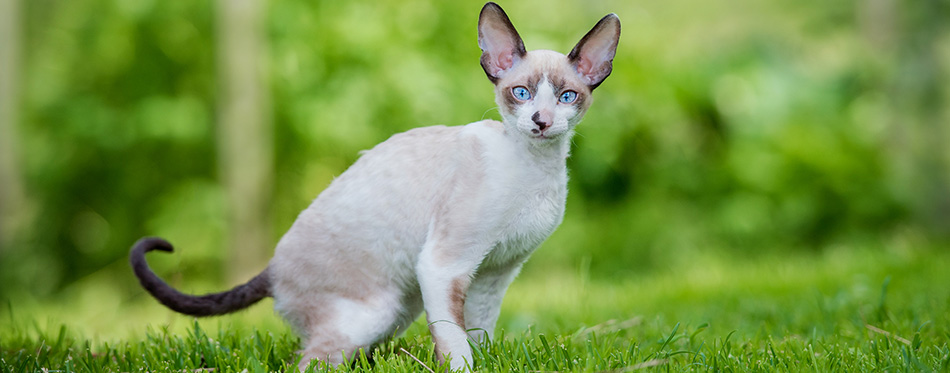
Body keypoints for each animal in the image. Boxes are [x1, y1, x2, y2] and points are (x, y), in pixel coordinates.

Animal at [132, 2, 624, 370]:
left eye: (566, 97)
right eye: (521, 93)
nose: (540, 121)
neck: (535, 167)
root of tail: (270, 267)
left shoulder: (495, 273)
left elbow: (479, 334)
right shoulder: (445, 265)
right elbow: (456, 346)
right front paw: (463, 365)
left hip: (401, 309)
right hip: (375, 312)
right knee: (307, 362)